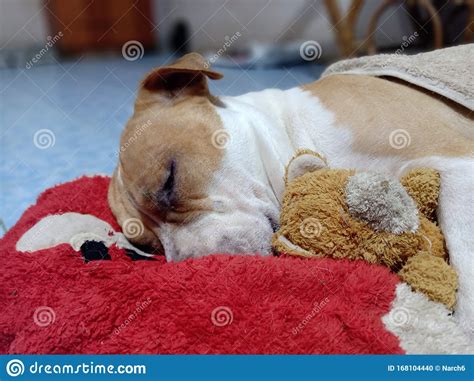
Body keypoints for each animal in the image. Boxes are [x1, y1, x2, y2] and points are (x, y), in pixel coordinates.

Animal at [109, 52, 474, 336]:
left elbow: (466, 261)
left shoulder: (458, 163)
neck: (292, 132)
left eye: (170, 179)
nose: (194, 273)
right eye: (149, 246)